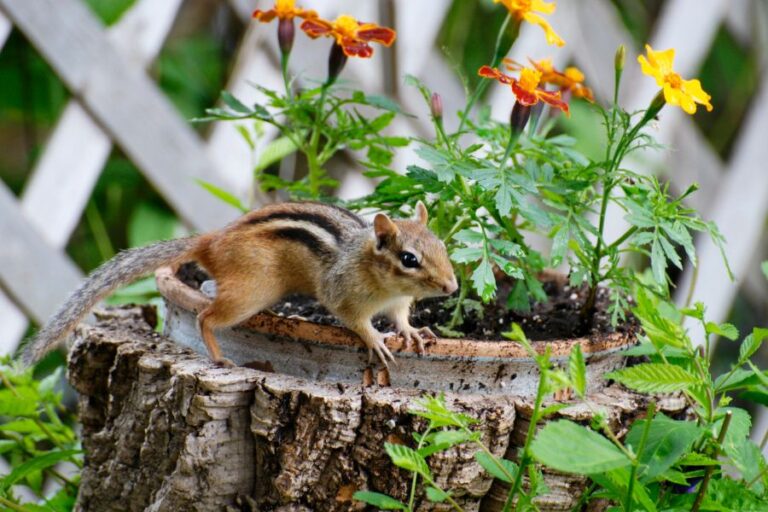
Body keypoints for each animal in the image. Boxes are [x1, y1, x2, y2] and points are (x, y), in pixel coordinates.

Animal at [22, 201, 457, 367]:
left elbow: (400, 319)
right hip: (251, 292)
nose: (452, 288)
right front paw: (376, 340)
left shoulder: (398, 302)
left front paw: (412, 332)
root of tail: (211, 241)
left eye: (442, 246)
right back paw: (218, 357)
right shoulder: (343, 295)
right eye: (409, 259)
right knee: (206, 317)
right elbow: (355, 321)